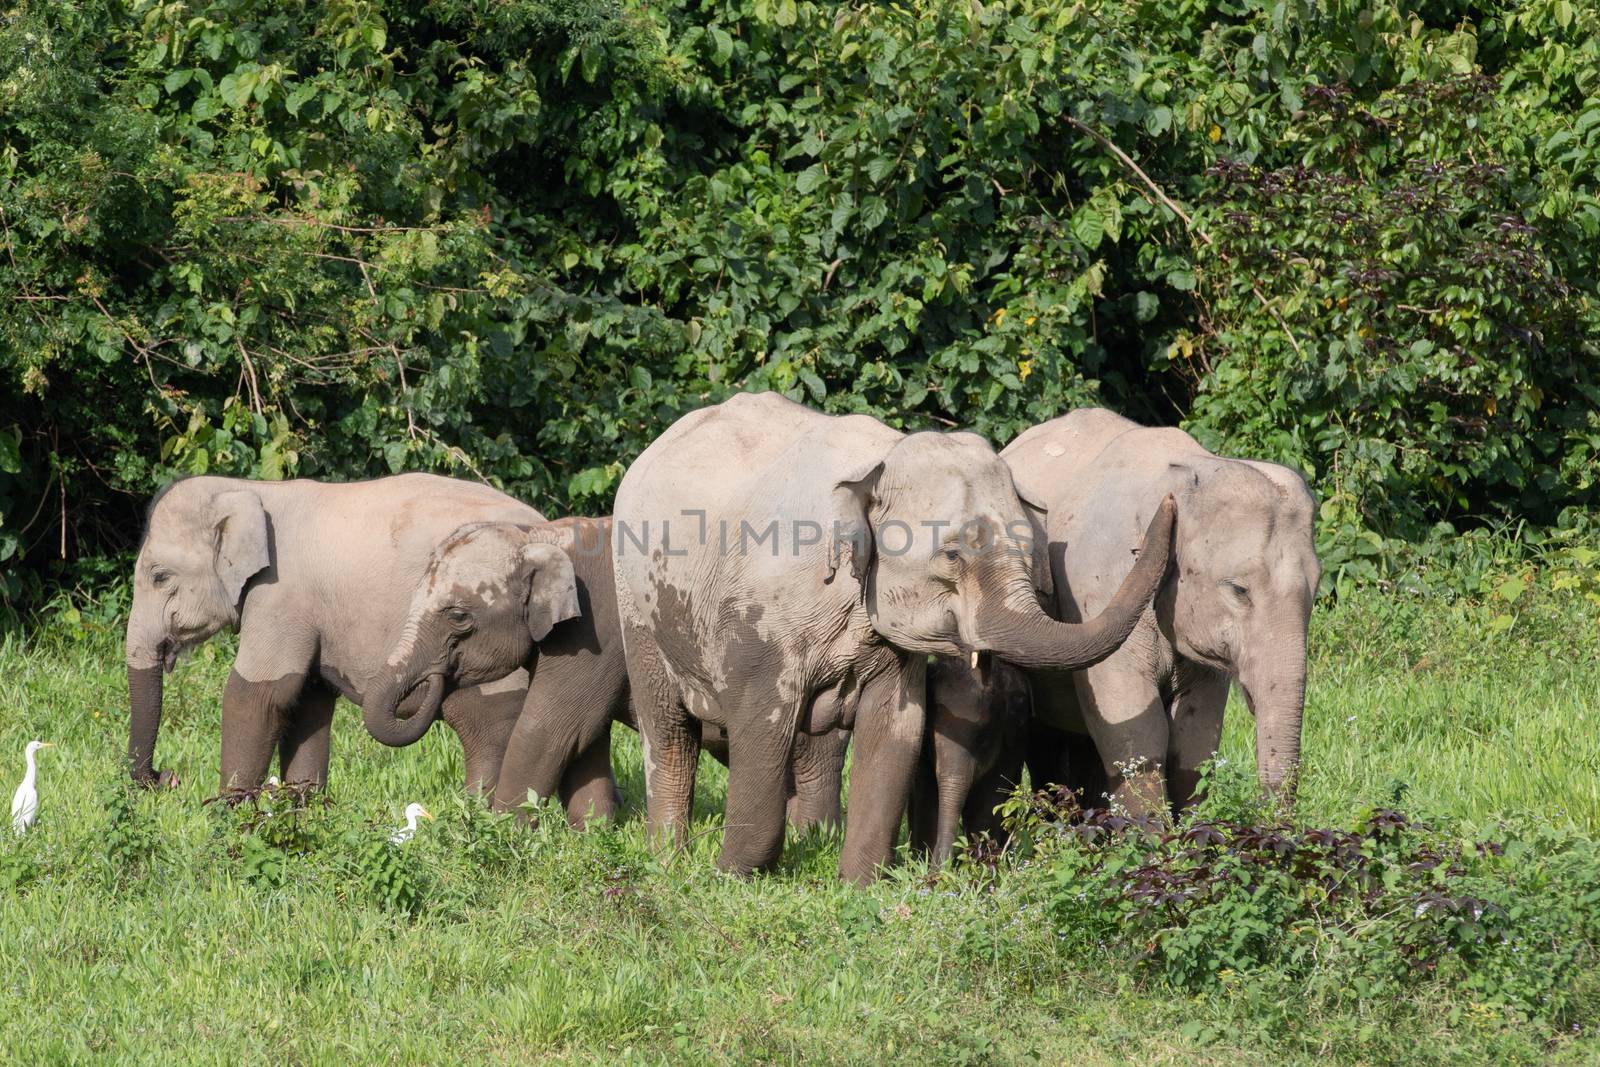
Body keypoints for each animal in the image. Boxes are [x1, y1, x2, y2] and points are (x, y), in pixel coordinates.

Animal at [126, 473, 576, 793]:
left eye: (159, 576)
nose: (167, 777)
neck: (252, 489)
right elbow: (306, 701)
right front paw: (301, 809)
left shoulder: (282, 595)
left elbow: (259, 693)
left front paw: (229, 820)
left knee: (490, 722)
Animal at [604, 391, 1171, 883]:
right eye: (952, 554)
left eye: (1030, 551)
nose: (1168, 503)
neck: (880, 460)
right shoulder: (760, 618)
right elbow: (762, 728)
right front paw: (730, 879)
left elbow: (896, 728)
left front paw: (857, 887)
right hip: (637, 605)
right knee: (669, 730)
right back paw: (668, 858)